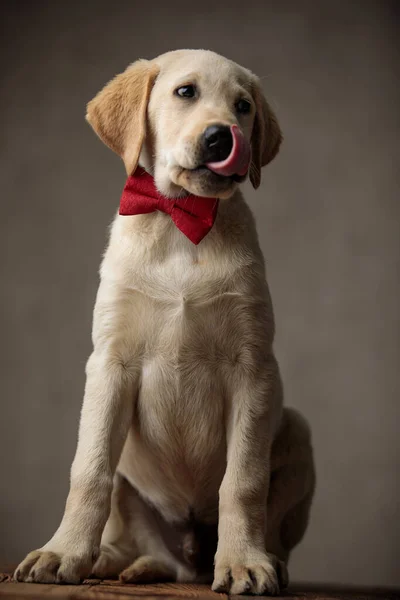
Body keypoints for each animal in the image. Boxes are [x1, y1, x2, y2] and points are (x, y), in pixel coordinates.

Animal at [14, 50, 316, 596]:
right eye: (185, 92)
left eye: (243, 106)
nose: (221, 137)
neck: (180, 221)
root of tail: (189, 555)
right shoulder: (110, 365)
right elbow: (89, 470)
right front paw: (62, 553)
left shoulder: (252, 369)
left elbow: (243, 481)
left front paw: (243, 562)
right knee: (134, 533)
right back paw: (112, 561)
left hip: (297, 431)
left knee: (265, 533)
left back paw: (264, 561)